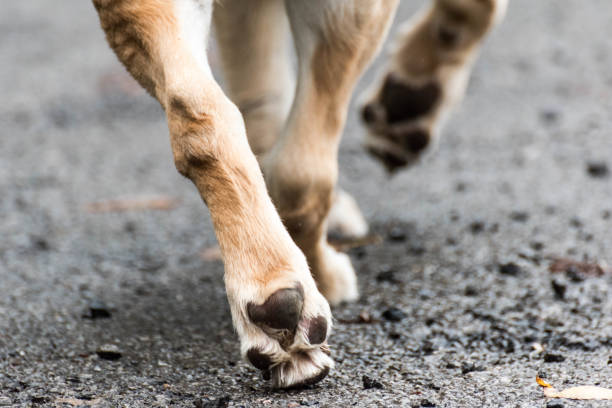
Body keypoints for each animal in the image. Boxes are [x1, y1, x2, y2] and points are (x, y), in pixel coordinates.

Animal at [91, 0, 506, 388]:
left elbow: (260, 99)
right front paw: (412, 96)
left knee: (196, 112)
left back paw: (271, 293)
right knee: (304, 172)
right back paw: (305, 287)